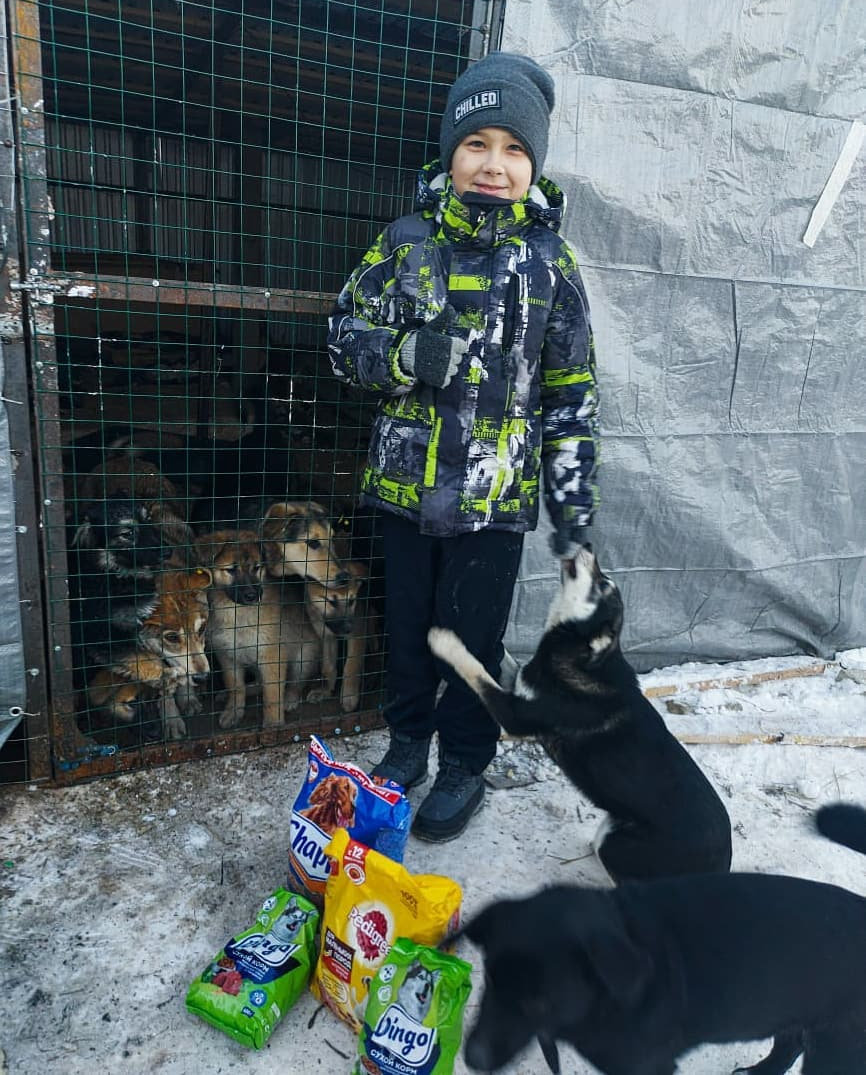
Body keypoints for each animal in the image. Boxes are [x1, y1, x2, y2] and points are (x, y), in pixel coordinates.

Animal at [196, 528, 322, 731]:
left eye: (256, 568)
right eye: (231, 570)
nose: (252, 596)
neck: (236, 612)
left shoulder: (271, 655)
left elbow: (272, 693)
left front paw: (273, 725)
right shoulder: (228, 655)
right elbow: (236, 687)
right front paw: (233, 711)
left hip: (303, 657)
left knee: (295, 683)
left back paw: (289, 699)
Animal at [427, 546, 730, 881]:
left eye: (602, 585)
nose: (587, 545)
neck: (577, 655)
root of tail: (722, 867)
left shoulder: (513, 714)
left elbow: (476, 671)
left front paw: (445, 643)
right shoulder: (520, 682)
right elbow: (502, 661)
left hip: (618, 845)